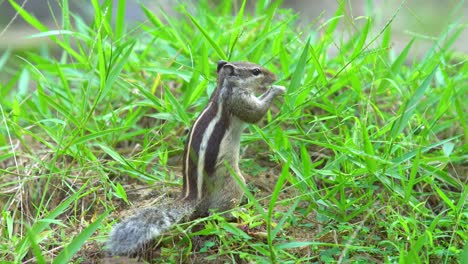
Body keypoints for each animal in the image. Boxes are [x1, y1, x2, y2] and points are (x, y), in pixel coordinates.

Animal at [107, 60, 286, 256]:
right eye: (256, 71)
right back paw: (236, 213)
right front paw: (277, 89)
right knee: (217, 212)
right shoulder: (238, 101)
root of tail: (193, 196)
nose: (275, 76)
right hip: (233, 181)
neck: (223, 87)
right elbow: (256, 114)